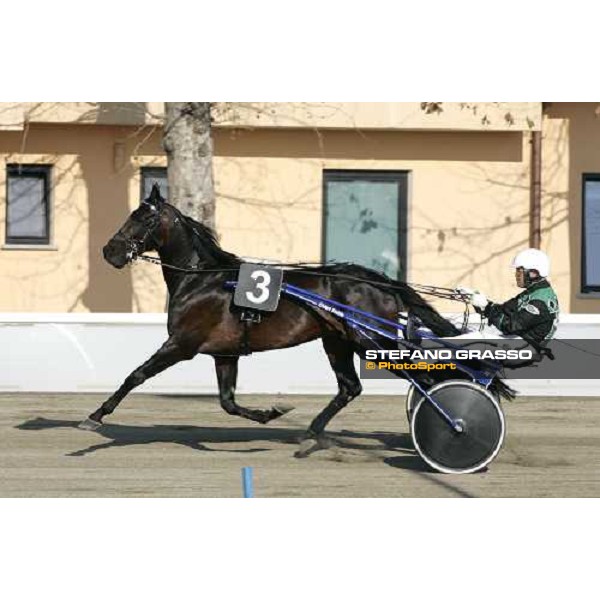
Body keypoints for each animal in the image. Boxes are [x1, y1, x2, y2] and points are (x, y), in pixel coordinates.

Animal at [79, 185, 474, 452]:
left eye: (142, 217)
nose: (110, 250)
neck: (202, 278)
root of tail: (378, 281)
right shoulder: (225, 353)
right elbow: (228, 402)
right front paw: (272, 412)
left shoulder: (181, 343)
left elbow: (136, 375)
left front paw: (95, 416)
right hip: (338, 341)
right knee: (351, 387)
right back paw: (311, 433)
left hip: (372, 341)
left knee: (426, 378)